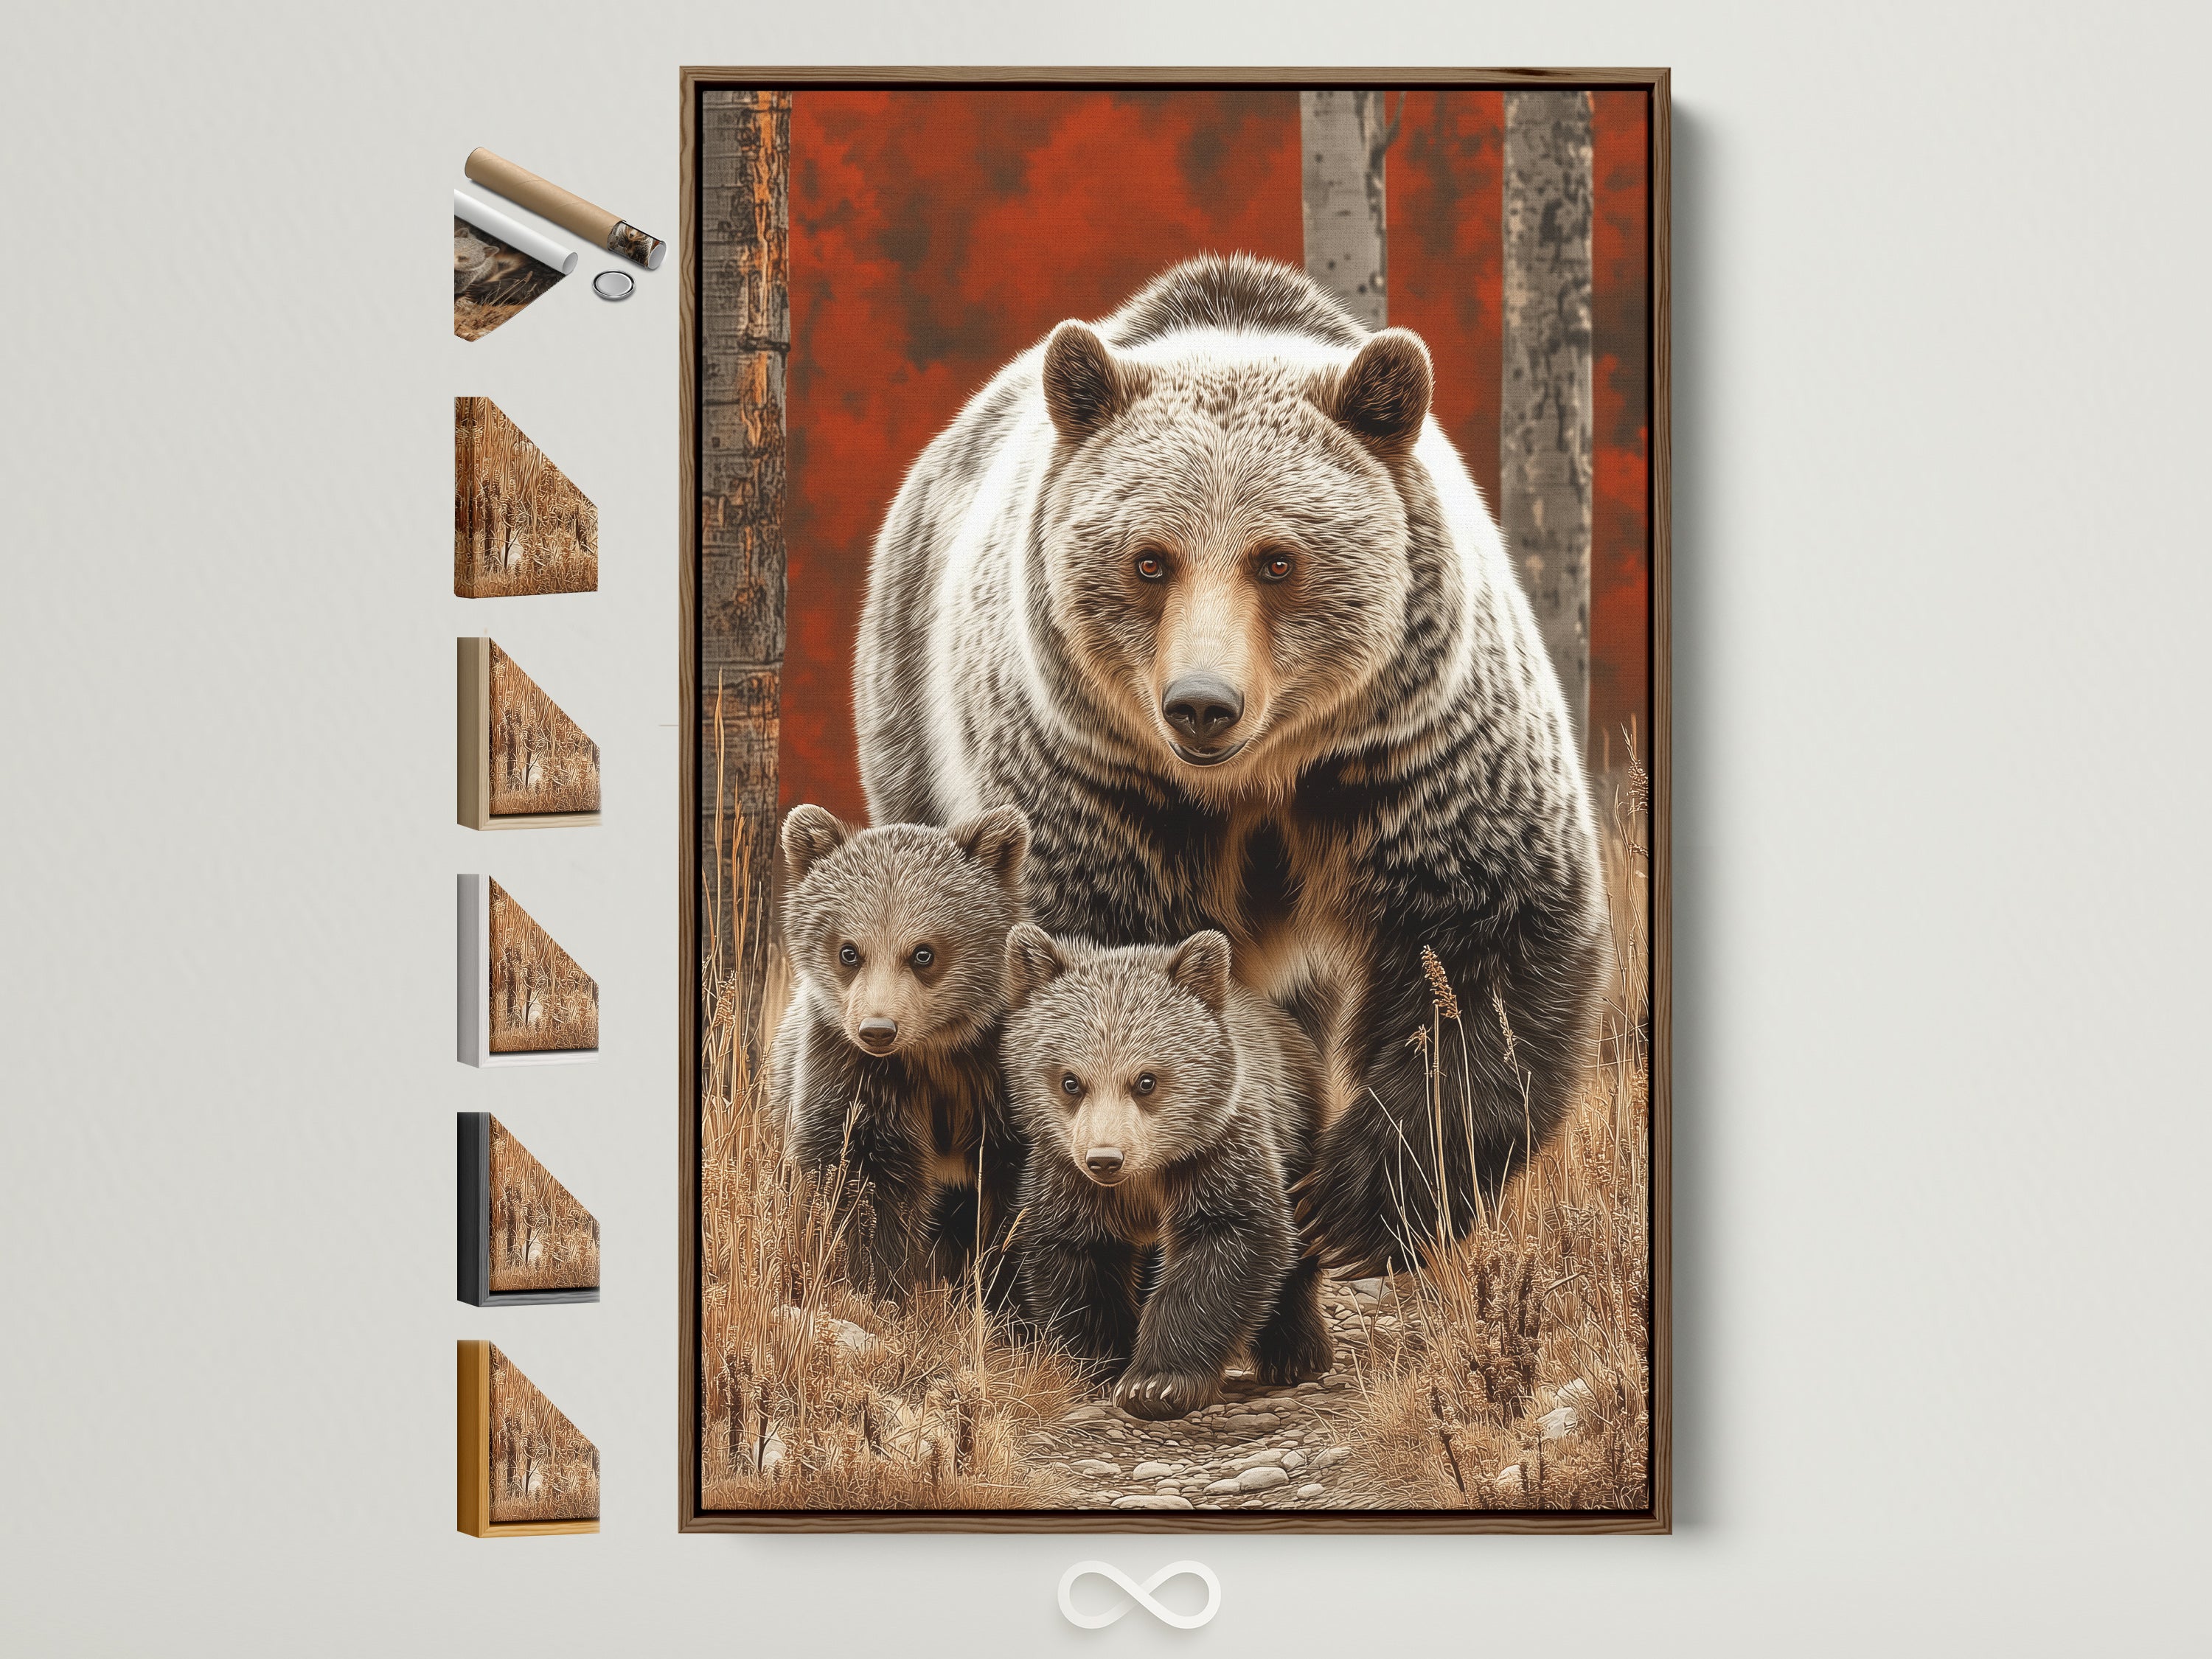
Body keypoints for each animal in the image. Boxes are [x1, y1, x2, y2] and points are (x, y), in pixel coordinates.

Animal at [766, 803, 1033, 1302]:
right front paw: (876, 1284)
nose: (878, 1030)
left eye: (923, 953)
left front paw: (1002, 1294)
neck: (933, 1052)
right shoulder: (852, 1075)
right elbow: (858, 1180)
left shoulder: (1001, 1078)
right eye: (849, 951)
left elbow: (1018, 1199)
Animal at [854, 252, 1605, 1279]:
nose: (1202, 704)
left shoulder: (1411, 751)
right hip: (915, 724)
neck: (1254, 784)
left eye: (1277, 560)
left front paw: (1351, 1206)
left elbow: (1484, 938)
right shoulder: (1099, 781)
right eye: (1149, 561)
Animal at [1000, 922, 1333, 1419]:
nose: (1105, 1158)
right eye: (1070, 1081)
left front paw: (1156, 1382)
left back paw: (1295, 1354)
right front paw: (1101, 1368)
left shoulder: (1217, 1155)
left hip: (1299, 1130)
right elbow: (1076, 1261)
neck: (1145, 1178)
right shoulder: (1068, 1180)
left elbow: (1228, 1244)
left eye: (1146, 1080)